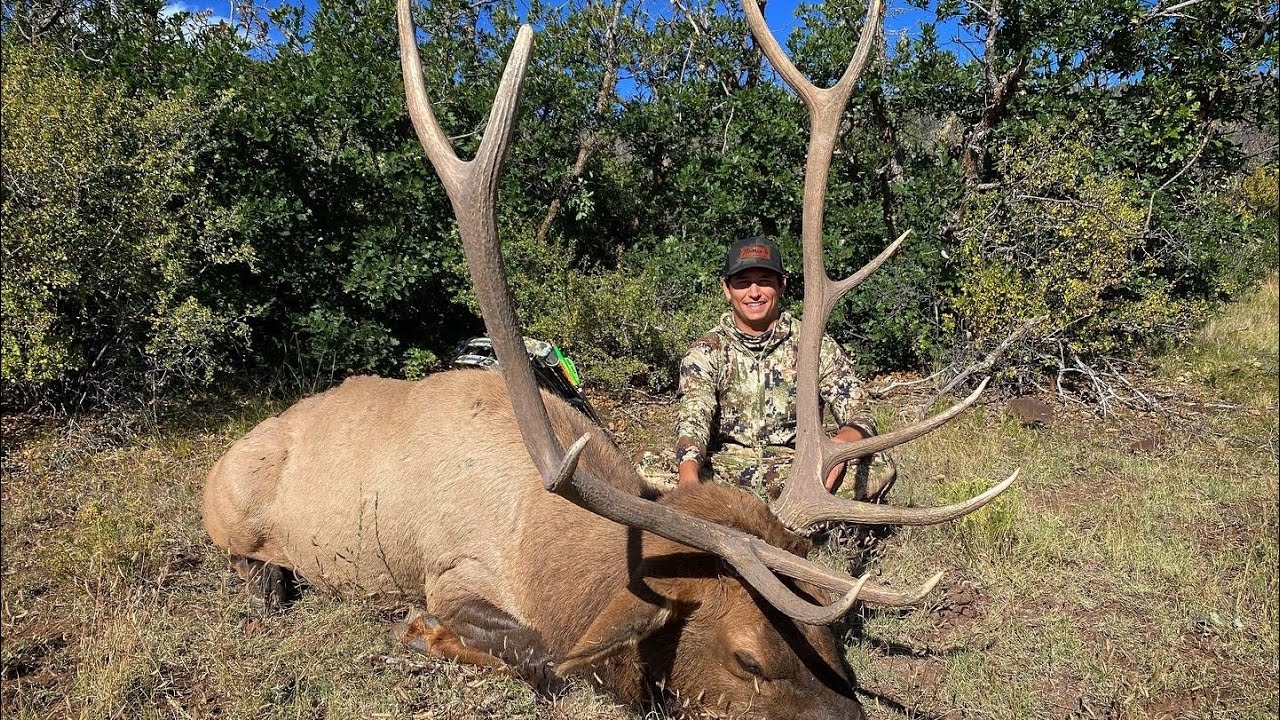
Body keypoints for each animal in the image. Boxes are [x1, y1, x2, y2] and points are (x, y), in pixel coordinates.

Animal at [201, 0, 1020, 717]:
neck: (545, 549)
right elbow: (543, 660)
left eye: (834, 640)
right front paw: (425, 634)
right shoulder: (450, 570)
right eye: (747, 659)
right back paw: (271, 584)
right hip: (229, 508)